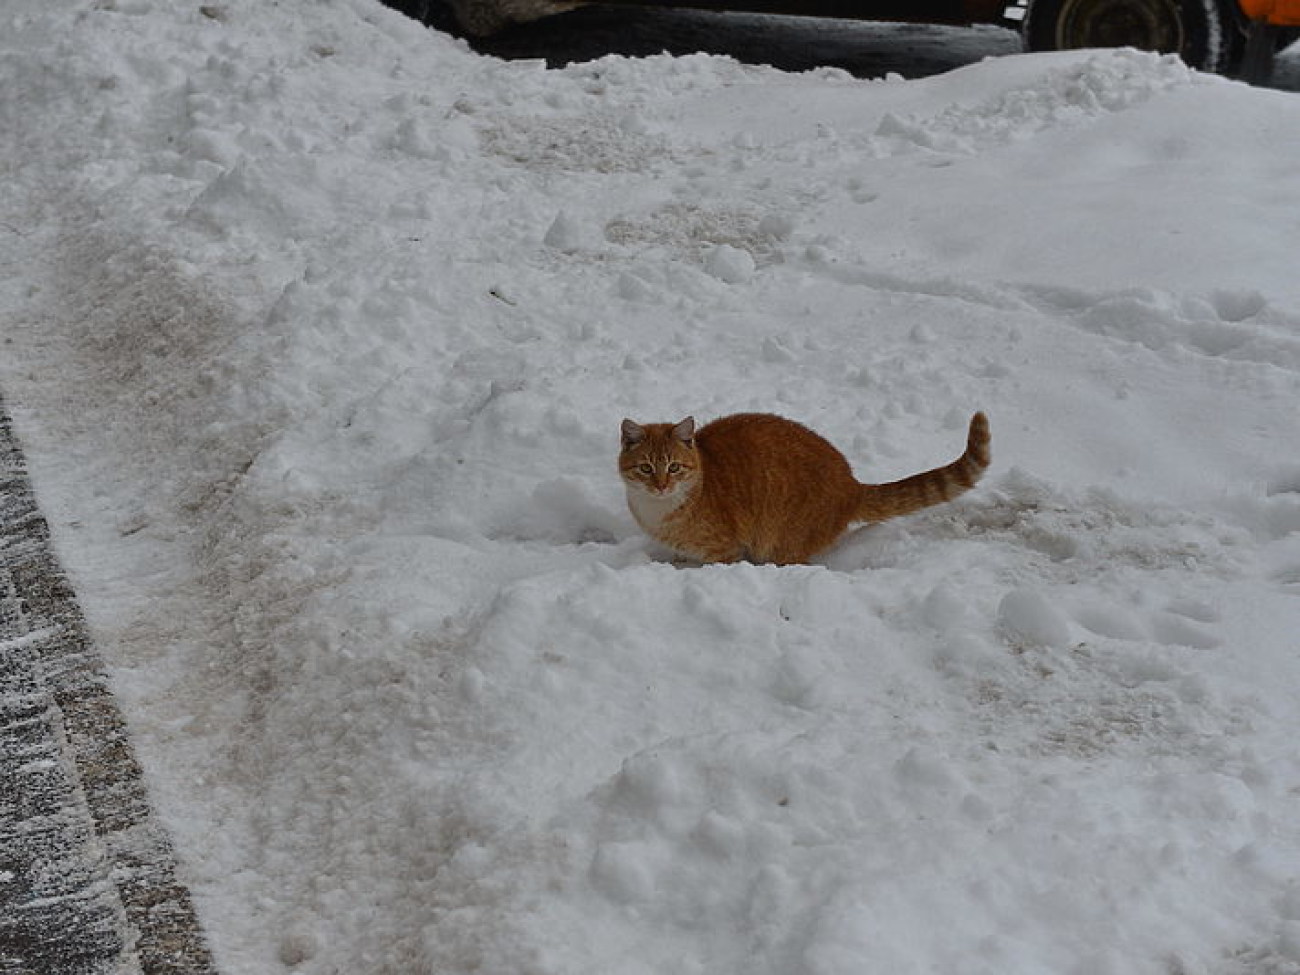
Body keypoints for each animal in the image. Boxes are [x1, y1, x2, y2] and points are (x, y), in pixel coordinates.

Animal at [613, 410, 987, 564]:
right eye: (646, 469)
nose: (661, 486)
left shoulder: (725, 551)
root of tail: (852, 485)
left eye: (674, 468)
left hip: (781, 547)